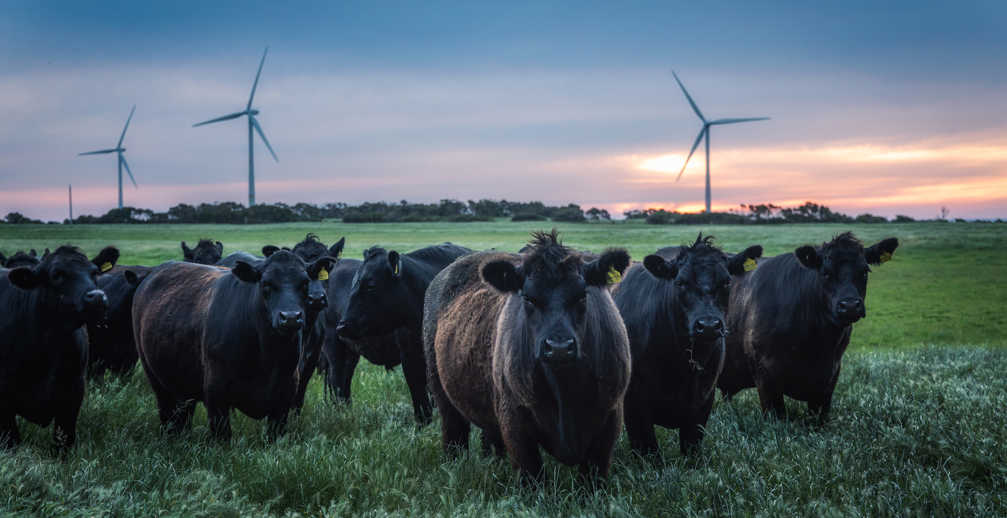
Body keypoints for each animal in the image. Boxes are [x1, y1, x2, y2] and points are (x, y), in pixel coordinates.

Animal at [0, 245, 119, 451]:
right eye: (57, 274)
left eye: (95, 272)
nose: (97, 297)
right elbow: (11, 439)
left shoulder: (74, 390)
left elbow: (64, 439)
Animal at [132, 250, 335, 440]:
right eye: (266, 284)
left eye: (305, 283)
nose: (291, 317)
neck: (266, 355)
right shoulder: (216, 393)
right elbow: (223, 436)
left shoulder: (286, 395)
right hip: (156, 380)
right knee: (167, 414)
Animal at [423, 230, 631, 481]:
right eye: (529, 298)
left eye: (582, 296)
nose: (559, 347)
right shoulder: (515, 423)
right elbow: (531, 476)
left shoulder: (609, 420)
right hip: (441, 392)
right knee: (454, 433)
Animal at [614, 234, 763, 456]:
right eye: (681, 282)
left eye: (727, 281)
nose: (708, 325)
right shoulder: (634, 403)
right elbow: (648, 450)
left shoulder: (703, 399)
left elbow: (691, 445)